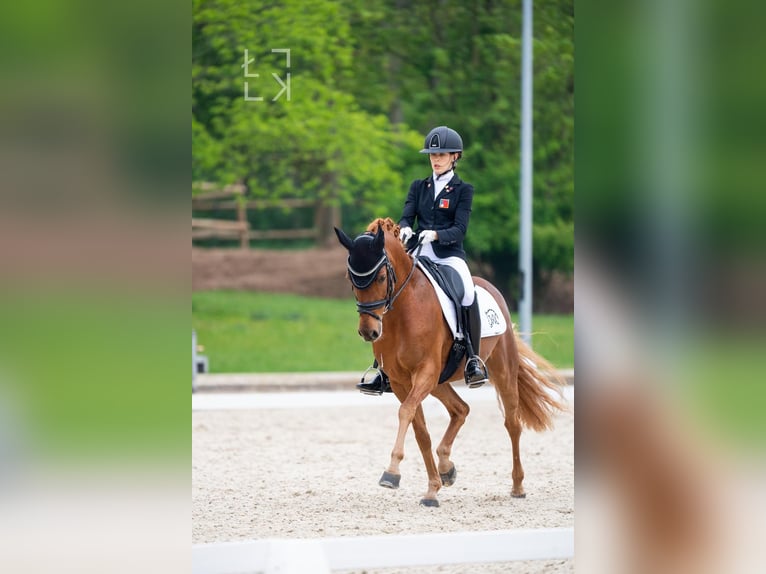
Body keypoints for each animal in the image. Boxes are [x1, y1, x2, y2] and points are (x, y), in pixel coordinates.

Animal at [334, 217, 564, 508]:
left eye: (382, 277)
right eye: (351, 279)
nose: (369, 332)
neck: (403, 311)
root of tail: (489, 287)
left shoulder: (425, 372)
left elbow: (406, 413)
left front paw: (392, 472)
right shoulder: (400, 381)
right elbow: (419, 429)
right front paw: (432, 489)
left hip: (501, 370)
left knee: (512, 423)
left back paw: (518, 486)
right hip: (439, 382)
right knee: (461, 409)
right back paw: (446, 468)